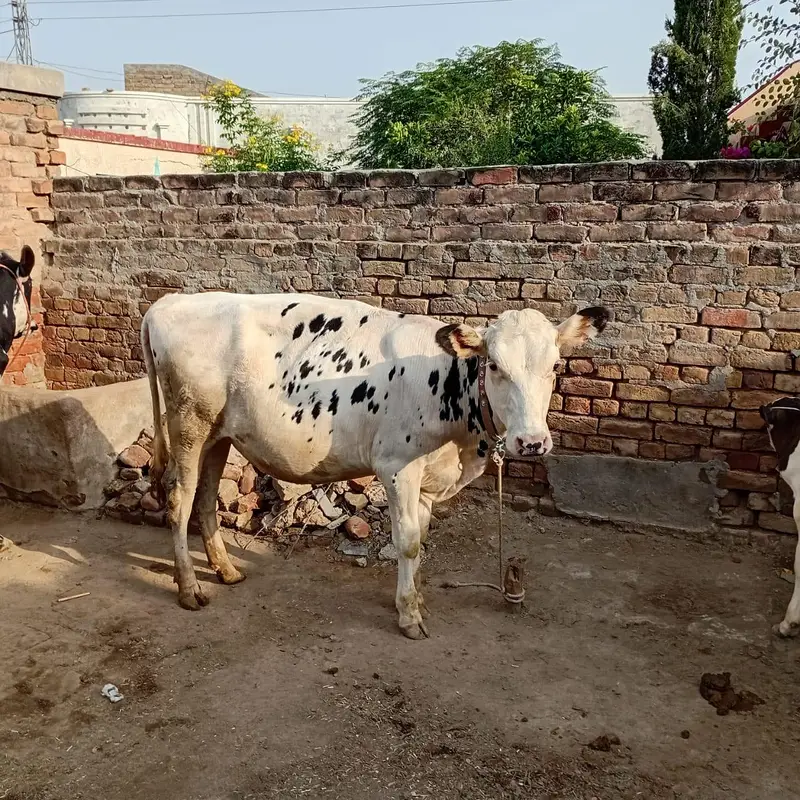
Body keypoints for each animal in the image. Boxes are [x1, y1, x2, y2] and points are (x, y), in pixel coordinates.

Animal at [141, 292, 608, 639]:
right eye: (494, 365)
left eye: (554, 366)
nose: (531, 442)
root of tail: (171, 301)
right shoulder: (397, 467)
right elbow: (407, 542)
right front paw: (408, 616)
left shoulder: (427, 478)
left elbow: (421, 539)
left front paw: (416, 600)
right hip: (188, 425)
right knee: (180, 500)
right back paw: (190, 588)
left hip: (218, 434)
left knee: (205, 499)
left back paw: (226, 570)